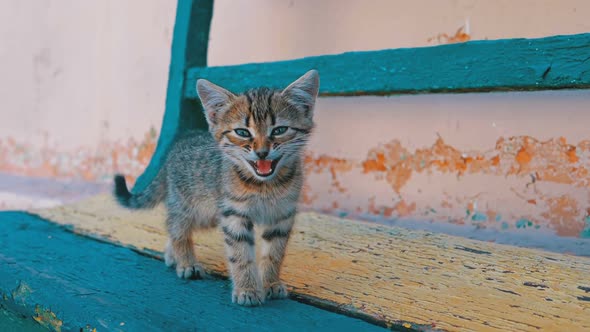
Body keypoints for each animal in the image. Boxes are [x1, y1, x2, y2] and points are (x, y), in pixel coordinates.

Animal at [114, 70, 322, 306]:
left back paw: (172, 254)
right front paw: (247, 289)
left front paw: (270, 282)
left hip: (209, 215)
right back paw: (185, 261)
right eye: (242, 132)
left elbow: (274, 253)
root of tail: (175, 147)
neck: (264, 186)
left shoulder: (281, 215)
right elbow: (240, 254)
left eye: (279, 130)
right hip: (188, 206)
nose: (262, 152)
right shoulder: (234, 214)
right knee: (176, 228)